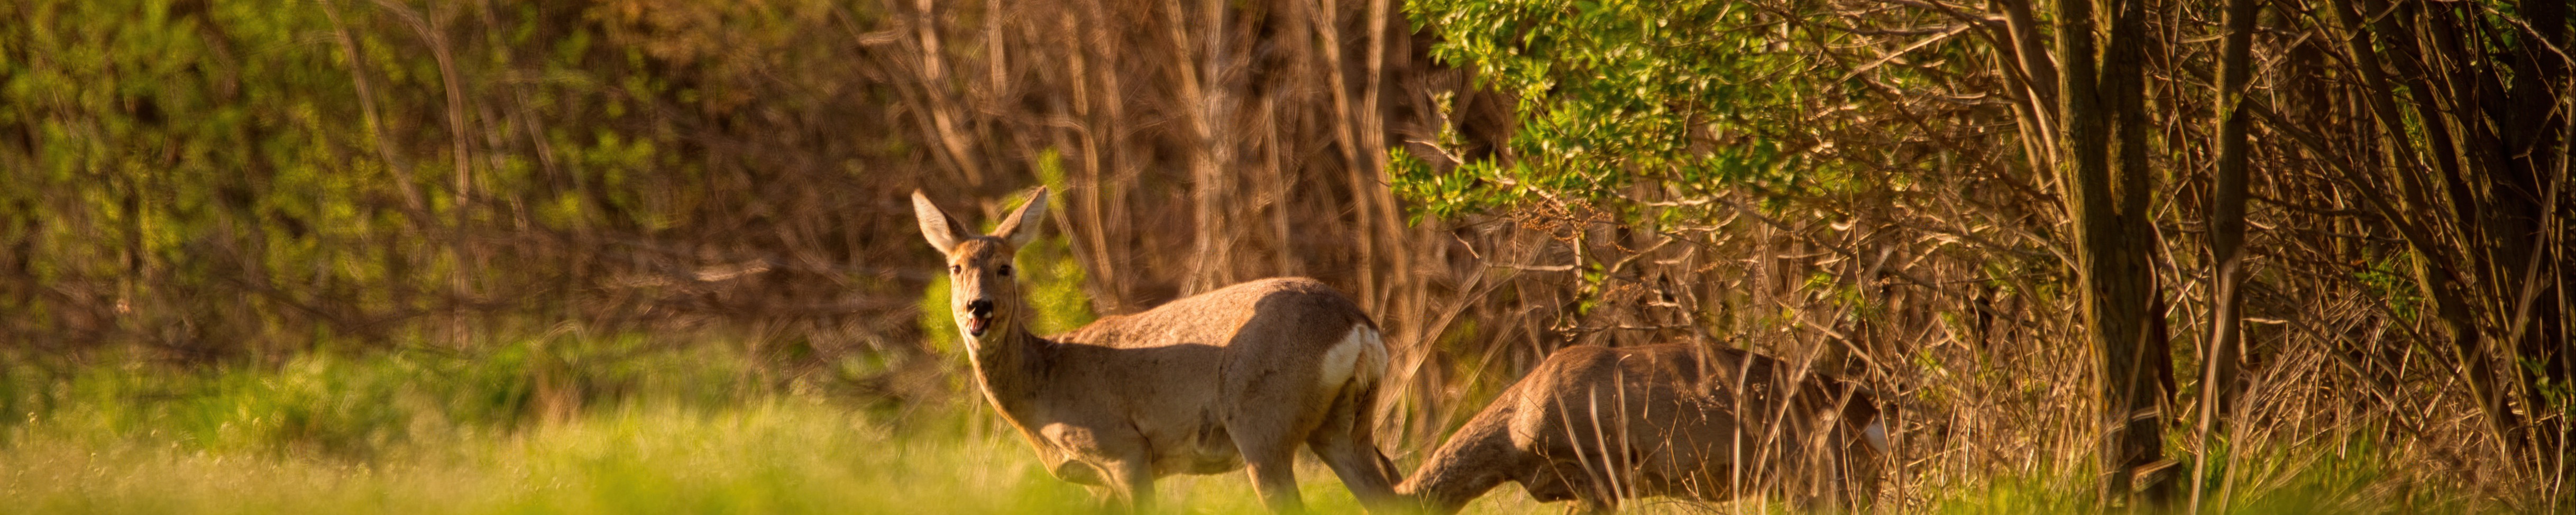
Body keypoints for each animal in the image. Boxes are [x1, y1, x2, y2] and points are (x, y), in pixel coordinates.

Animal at [901, 188, 1391, 510]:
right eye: (955, 267)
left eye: (1005, 268)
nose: (978, 306)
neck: (1043, 387)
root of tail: (1360, 326)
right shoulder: (1102, 481)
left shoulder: (1125, 450)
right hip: (1344, 424)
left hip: (1262, 421)